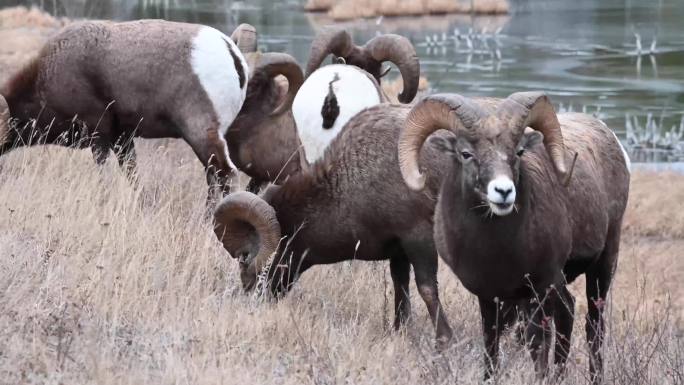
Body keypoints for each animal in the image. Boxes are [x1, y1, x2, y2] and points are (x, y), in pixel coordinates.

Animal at [0, 19, 250, 198]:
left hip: (201, 135)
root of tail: (231, 52)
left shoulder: (98, 135)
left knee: (225, 174)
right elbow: (132, 176)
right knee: (212, 177)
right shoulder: (123, 138)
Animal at [215, 103, 454, 346]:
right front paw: (400, 331)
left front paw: (445, 340)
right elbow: (401, 289)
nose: (251, 295)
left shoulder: (418, 239)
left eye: (245, 255)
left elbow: (427, 289)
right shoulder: (399, 251)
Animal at [400, 91, 632, 380]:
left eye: (519, 152)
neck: (496, 250)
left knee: (593, 326)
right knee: (567, 314)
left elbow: (536, 343)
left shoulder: (539, 290)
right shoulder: (490, 296)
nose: (503, 192)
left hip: (602, 265)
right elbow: (491, 342)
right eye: (466, 153)